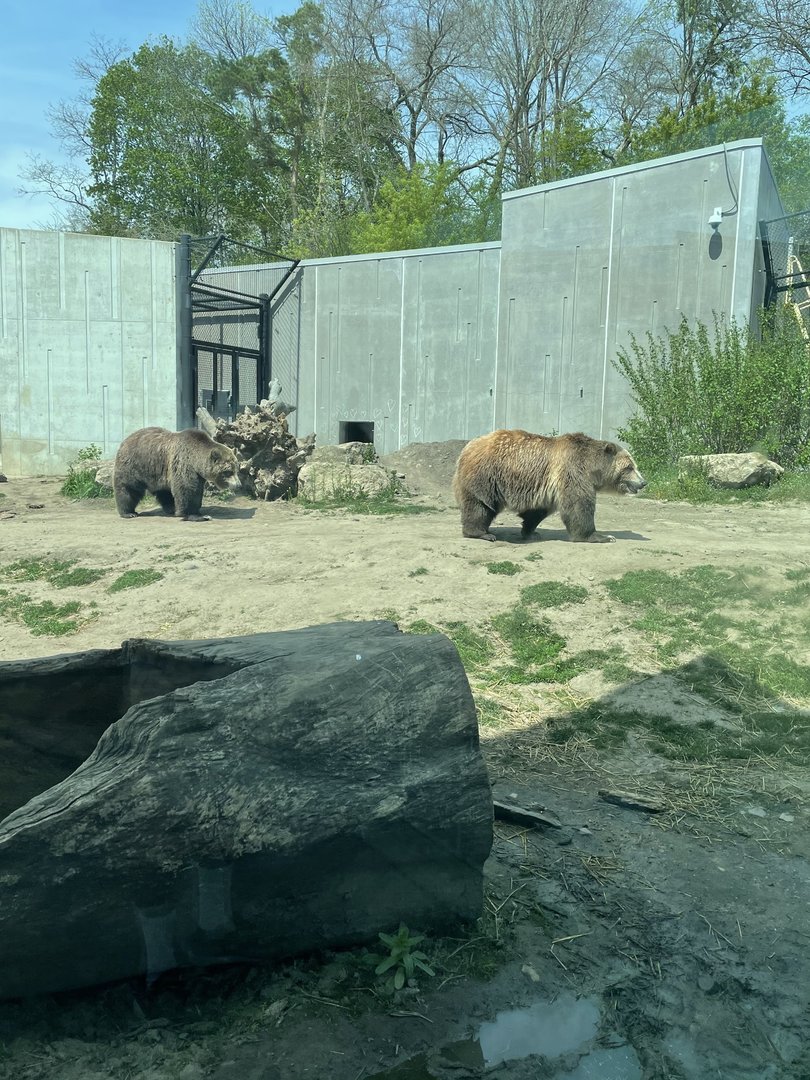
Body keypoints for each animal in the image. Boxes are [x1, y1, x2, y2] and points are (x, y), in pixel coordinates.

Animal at [113, 427, 242, 522]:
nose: (238, 485)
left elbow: (197, 491)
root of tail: (126, 439)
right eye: (228, 472)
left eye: (237, 469)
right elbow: (186, 488)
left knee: (164, 492)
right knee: (129, 488)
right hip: (135, 465)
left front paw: (197, 510)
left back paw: (171, 508)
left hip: (158, 474)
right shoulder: (184, 463)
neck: (196, 460)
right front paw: (194, 515)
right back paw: (128, 512)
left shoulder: (197, 474)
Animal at [452, 429, 646, 543]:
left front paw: (530, 531)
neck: (592, 468)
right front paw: (601, 536)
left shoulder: (547, 486)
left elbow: (538, 511)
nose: (643, 482)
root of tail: (467, 447)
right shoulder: (573, 471)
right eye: (629, 467)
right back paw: (481, 533)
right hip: (486, 475)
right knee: (480, 504)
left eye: (634, 465)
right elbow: (579, 505)